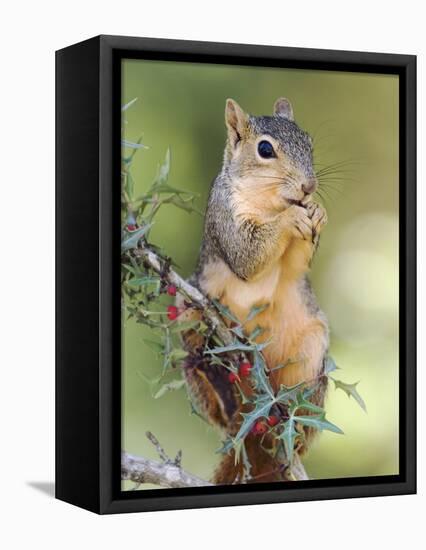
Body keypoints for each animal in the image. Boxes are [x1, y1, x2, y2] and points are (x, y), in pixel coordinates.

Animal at [176, 97, 330, 486]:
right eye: (265, 150)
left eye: (309, 142)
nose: (309, 187)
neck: (271, 202)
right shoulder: (225, 217)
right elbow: (248, 256)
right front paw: (290, 219)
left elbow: (296, 265)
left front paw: (317, 211)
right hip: (187, 310)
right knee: (218, 404)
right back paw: (221, 391)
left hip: (311, 352)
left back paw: (292, 425)